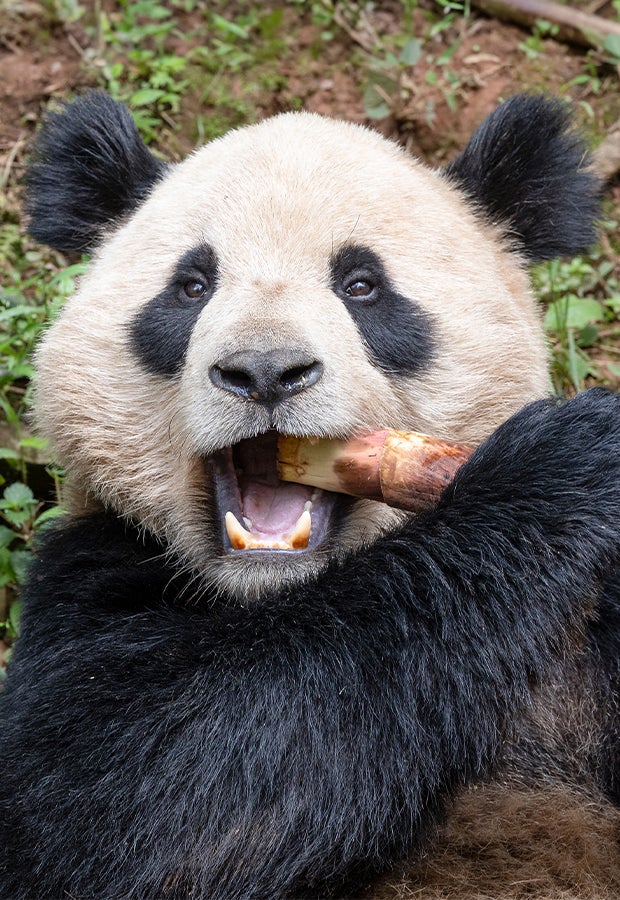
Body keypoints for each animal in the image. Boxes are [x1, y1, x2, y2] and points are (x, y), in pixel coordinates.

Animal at [1, 90, 620, 899]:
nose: (265, 371)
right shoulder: (91, 567)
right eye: (192, 286)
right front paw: (555, 466)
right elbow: (124, 797)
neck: (279, 595)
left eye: (362, 285)